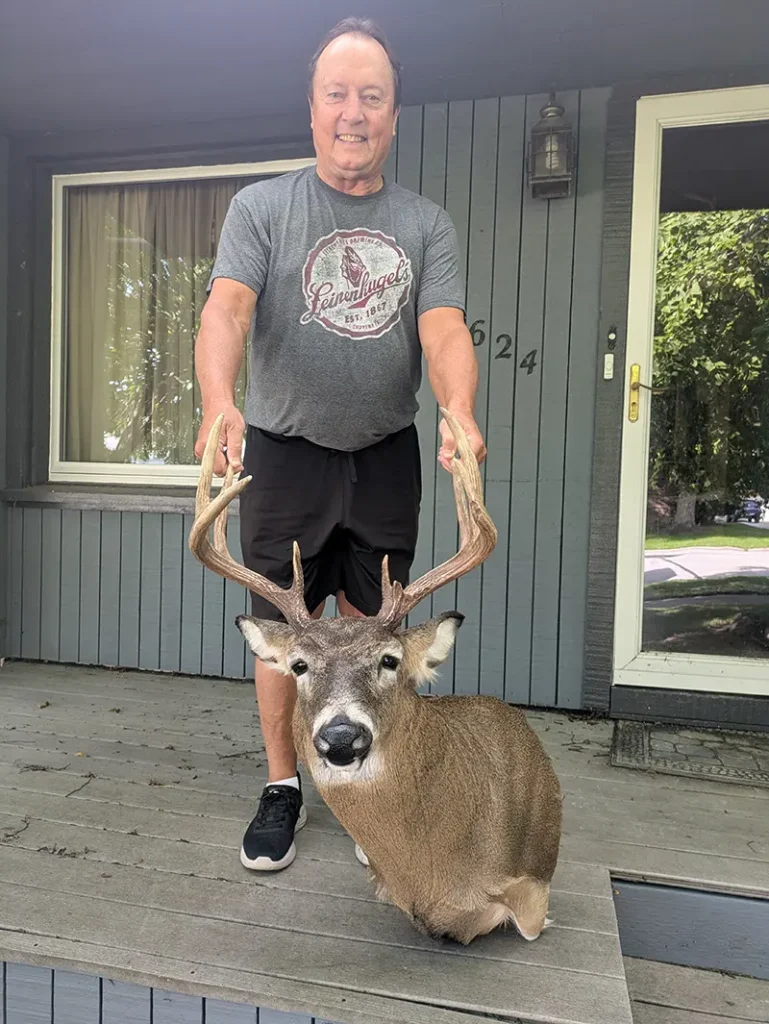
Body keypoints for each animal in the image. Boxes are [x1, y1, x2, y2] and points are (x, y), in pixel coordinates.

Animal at [189, 410, 563, 946]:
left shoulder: (532, 889)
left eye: (390, 660)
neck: (438, 879)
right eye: (299, 665)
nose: (343, 735)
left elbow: (529, 924)